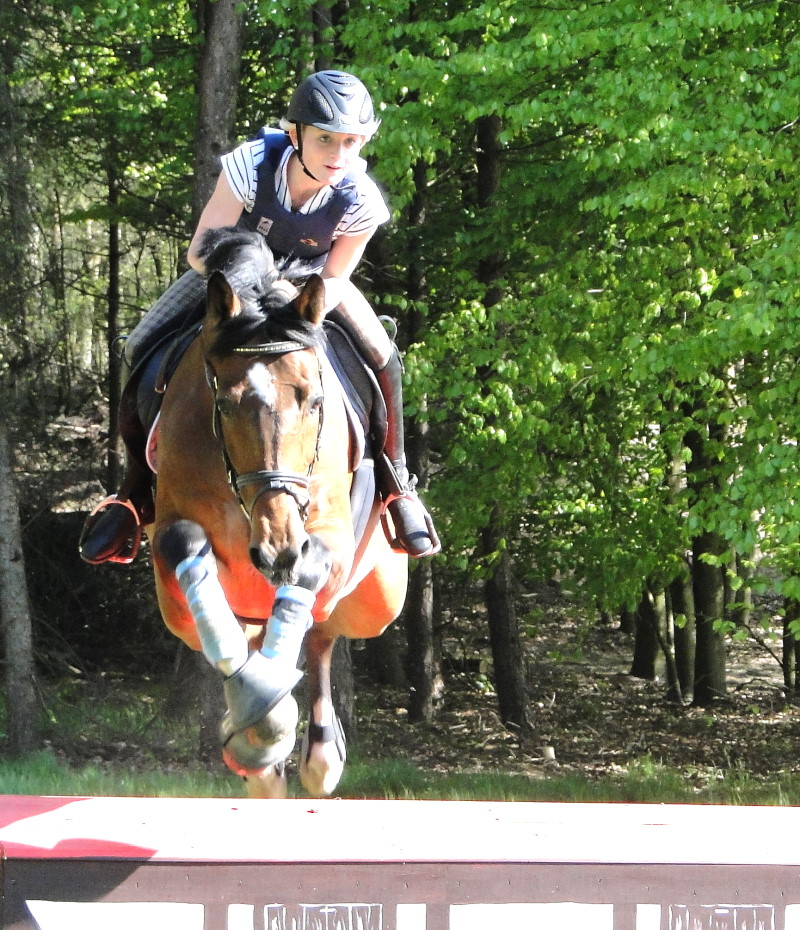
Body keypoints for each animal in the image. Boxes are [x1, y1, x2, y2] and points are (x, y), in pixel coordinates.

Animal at [146, 227, 406, 796]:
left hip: (378, 598)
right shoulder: (172, 532)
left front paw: (268, 707)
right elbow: (186, 545)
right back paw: (262, 752)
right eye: (223, 404)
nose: (276, 548)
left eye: (314, 402)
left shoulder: (328, 534)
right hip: (190, 613)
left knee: (325, 627)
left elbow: (311, 572)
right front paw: (257, 715)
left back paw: (321, 752)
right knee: (249, 631)